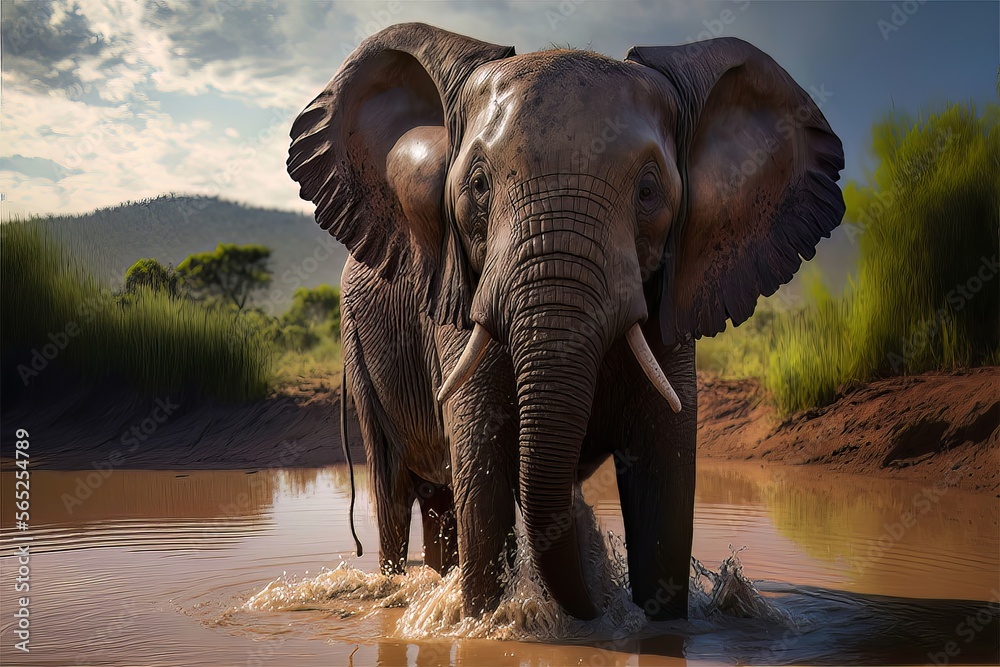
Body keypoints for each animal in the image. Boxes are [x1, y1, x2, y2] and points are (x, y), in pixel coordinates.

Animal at [287, 22, 844, 621]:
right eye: (478, 186)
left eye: (649, 191)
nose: (599, 608)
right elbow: (483, 473)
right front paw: (485, 622)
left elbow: (665, 480)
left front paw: (654, 622)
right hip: (358, 349)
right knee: (395, 493)